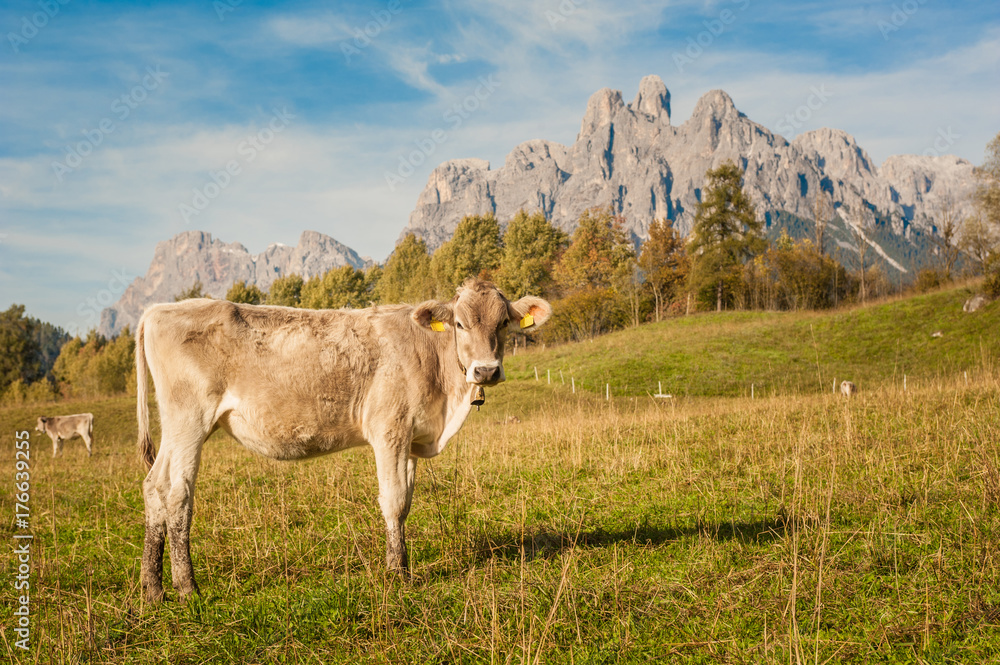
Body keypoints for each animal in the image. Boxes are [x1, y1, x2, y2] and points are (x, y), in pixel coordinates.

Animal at [136, 278, 552, 600]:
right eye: (461, 324)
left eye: (503, 323)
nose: (486, 370)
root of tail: (159, 310)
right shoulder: (389, 429)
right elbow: (393, 501)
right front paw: (397, 574)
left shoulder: (410, 438)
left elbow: (406, 502)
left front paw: (400, 566)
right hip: (189, 420)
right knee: (177, 493)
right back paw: (187, 587)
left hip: (178, 427)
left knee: (154, 486)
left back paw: (153, 589)